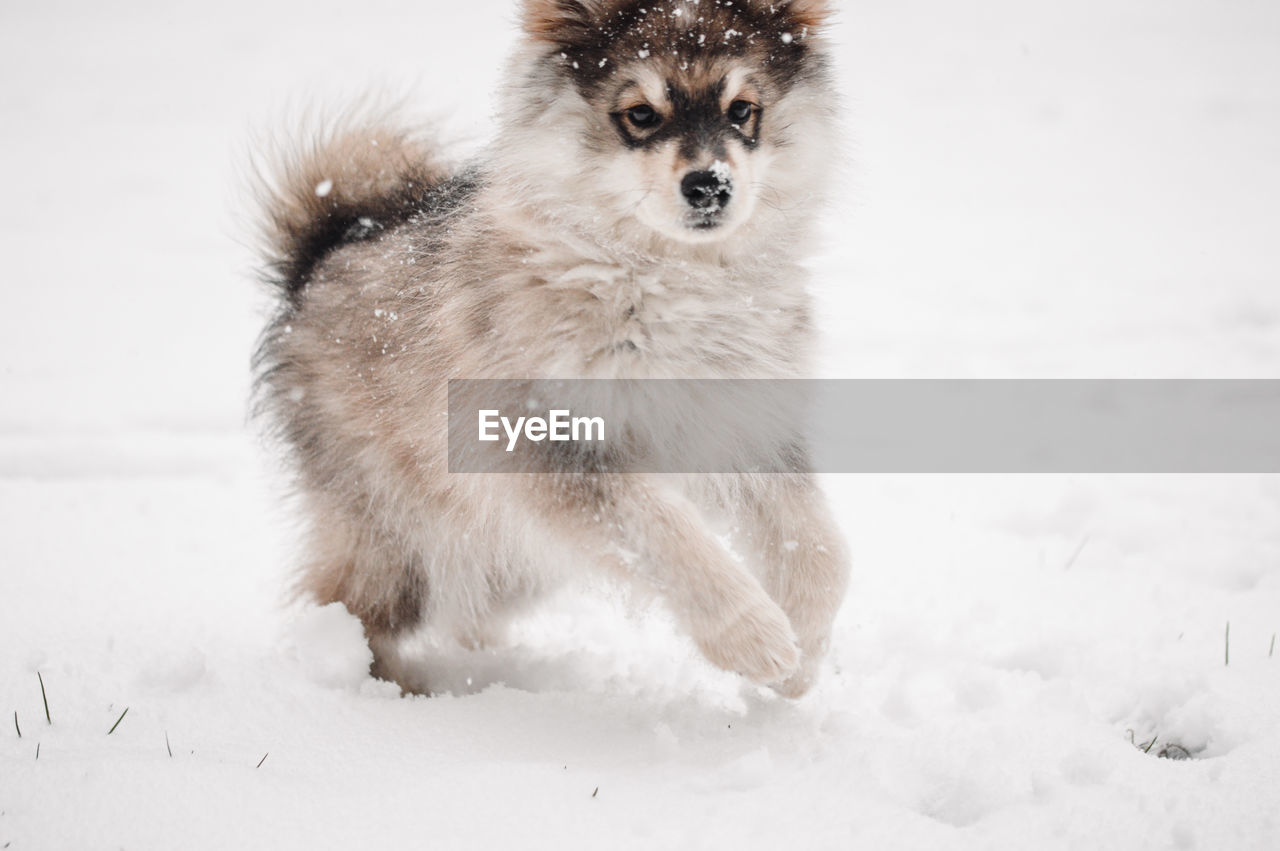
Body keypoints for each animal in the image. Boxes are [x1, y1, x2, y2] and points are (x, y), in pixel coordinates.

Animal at [250, 0, 849, 696]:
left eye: (742, 109)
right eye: (641, 114)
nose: (710, 186)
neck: (667, 277)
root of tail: (323, 254)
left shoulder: (747, 425)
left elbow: (823, 549)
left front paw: (804, 654)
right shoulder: (552, 448)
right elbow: (668, 533)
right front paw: (755, 638)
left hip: (511, 552)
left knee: (470, 604)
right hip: (401, 535)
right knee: (349, 603)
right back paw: (370, 687)